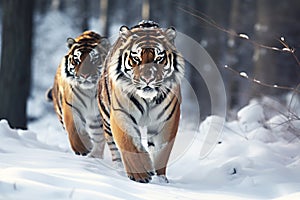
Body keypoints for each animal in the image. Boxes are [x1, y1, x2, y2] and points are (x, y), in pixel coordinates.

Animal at [48, 30, 110, 158]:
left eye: (94, 60)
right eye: (77, 60)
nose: (84, 75)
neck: (90, 91)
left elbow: (100, 137)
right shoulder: (70, 107)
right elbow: (73, 130)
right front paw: (82, 148)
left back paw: (95, 156)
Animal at [97, 20, 184, 183]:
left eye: (159, 58)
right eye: (136, 58)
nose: (147, 79)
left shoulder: (167, 119)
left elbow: (162, 151)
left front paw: (161, 179)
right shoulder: (121, 113)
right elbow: (129, 143)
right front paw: (141, 174)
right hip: (106, 116)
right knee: (114, 148)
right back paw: (119, 170)